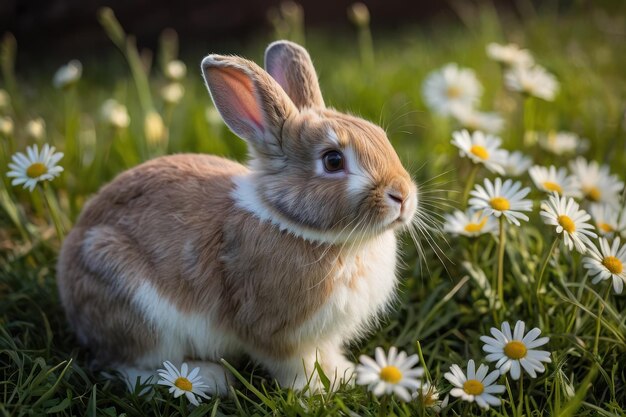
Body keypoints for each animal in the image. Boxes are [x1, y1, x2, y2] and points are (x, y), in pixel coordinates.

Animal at [56, 40, 416, 394]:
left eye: (380, 136)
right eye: (332, 160)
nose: (403, 195)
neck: (293, 225)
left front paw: (344, 373)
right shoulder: (276, 332)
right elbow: (293, 365)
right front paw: (317, 388)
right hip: (135, 309)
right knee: (129, 367)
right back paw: (210, 378)